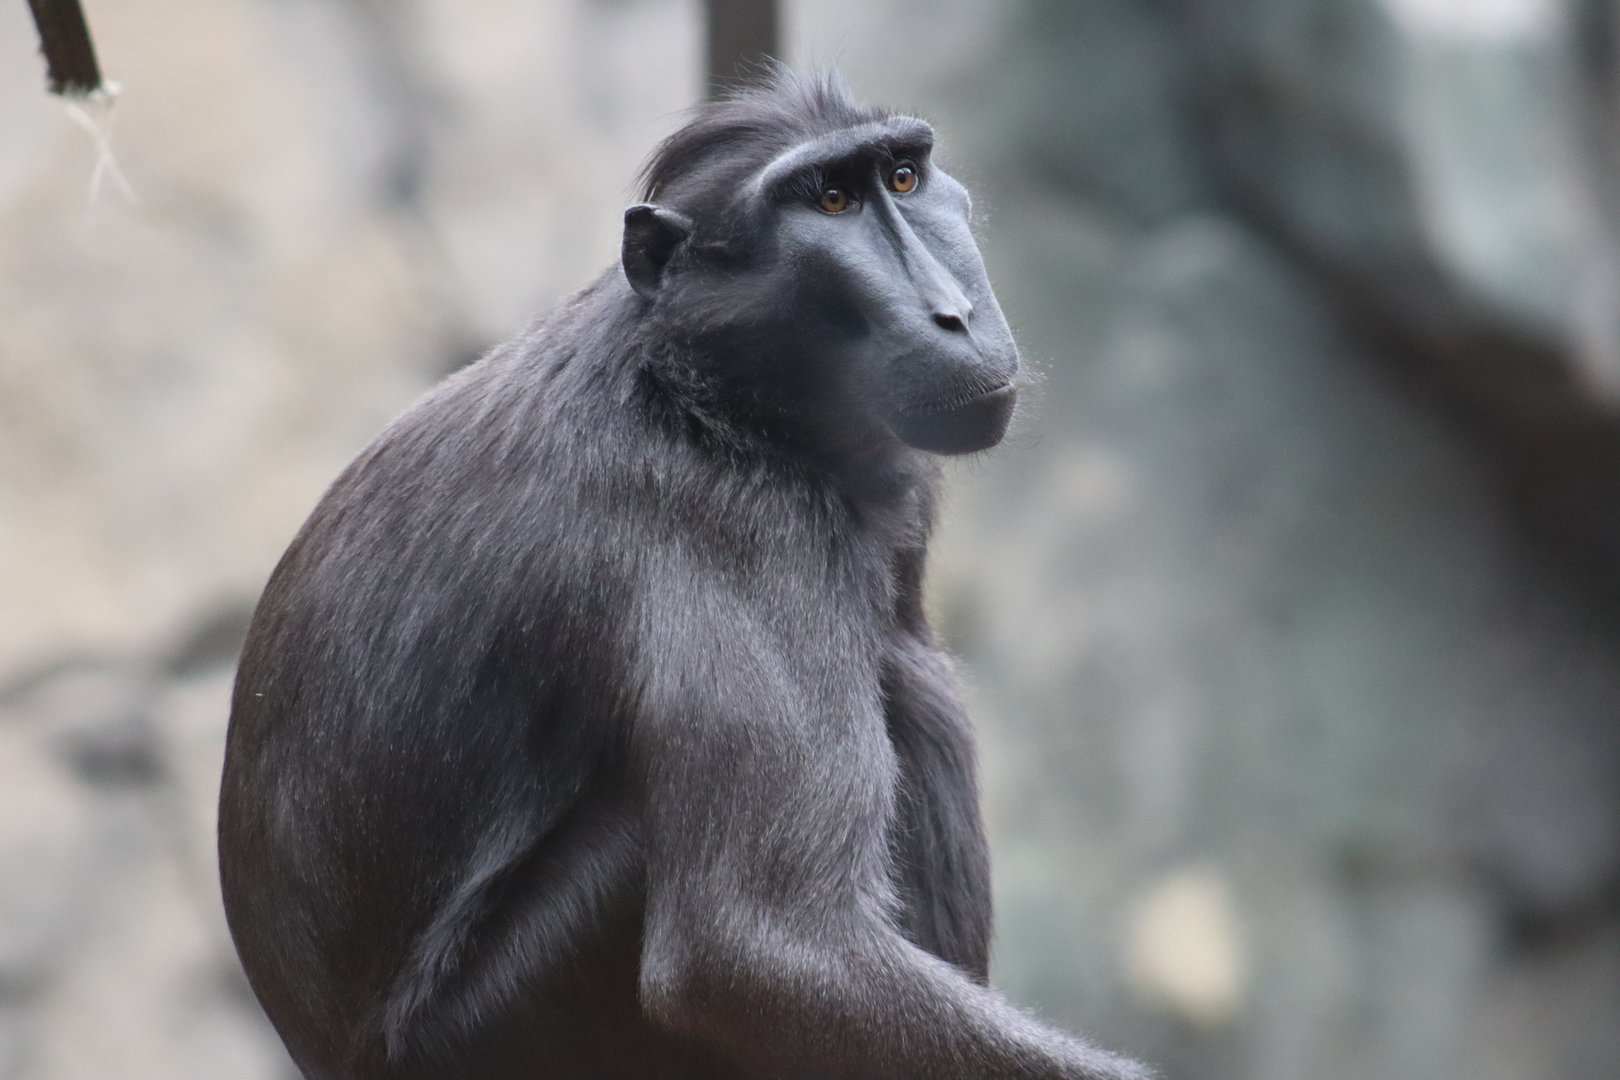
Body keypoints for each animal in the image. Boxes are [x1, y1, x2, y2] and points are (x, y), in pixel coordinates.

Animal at [218, 69, 1150, 1080]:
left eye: (902, 178)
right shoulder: (733, 524)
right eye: (829, 201)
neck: (708, 385)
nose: (955, 313)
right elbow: (752, 951)